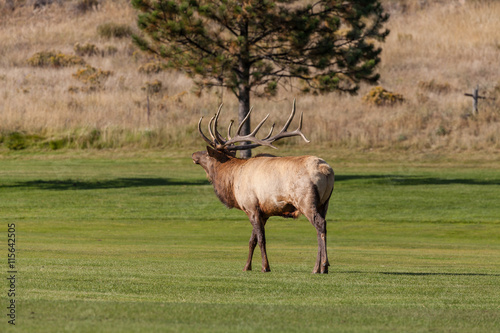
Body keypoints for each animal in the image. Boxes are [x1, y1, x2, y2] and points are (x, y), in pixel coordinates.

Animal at [193, 100, 334, 272]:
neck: (232, 180)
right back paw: (319, 267)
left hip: (306, 200)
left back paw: (322, 266)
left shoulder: (251, 206)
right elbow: (252, 240)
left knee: (320, 224)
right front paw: (246, 266)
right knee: (322, 226)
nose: (194, 154)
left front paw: (265, 266)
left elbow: (261, 239)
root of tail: (326, 170)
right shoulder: (264, 212)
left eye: (207, 153)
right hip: (324, 203)